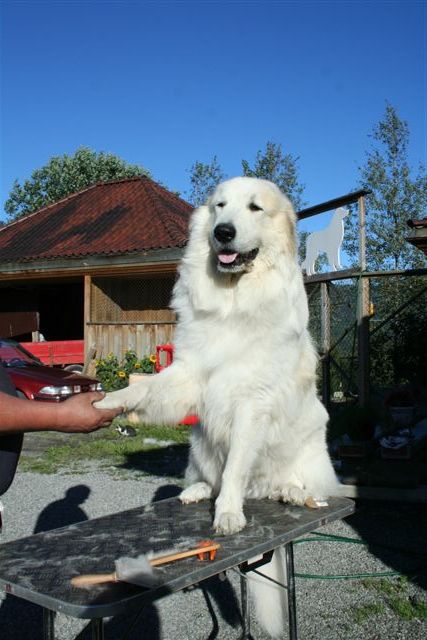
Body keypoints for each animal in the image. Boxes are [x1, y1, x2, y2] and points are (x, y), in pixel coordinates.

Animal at [96, 178, 338, 636]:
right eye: (219, 207)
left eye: (255, 208)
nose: (223, 232)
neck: (235, 300)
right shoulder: (189, 372)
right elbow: (146, 388)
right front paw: (110, 401)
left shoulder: (252, 402)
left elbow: (236, 467)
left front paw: (227, 514)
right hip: (199, 445)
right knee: (209, 476)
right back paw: (195, 492)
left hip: (312, 448)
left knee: (299, 484)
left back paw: (291, 492)